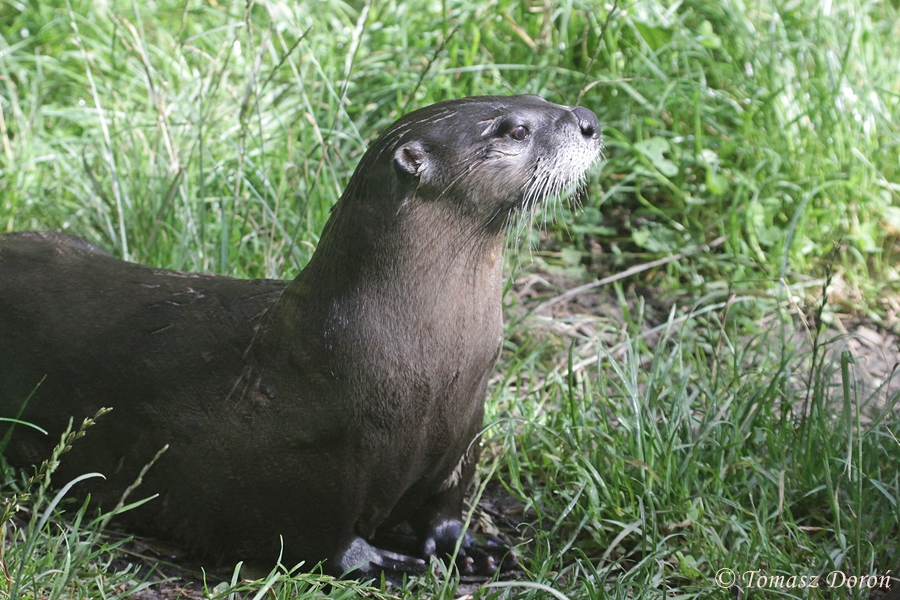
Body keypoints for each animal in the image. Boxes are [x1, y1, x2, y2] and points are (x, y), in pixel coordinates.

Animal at [0, 95, 602, 578]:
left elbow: (446, 505)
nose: (590, 121)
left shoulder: (464, 429)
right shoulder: (312, 464)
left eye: (542, 98)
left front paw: (468, 546)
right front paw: (376, 560)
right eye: (514, 129)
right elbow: (317, 537)